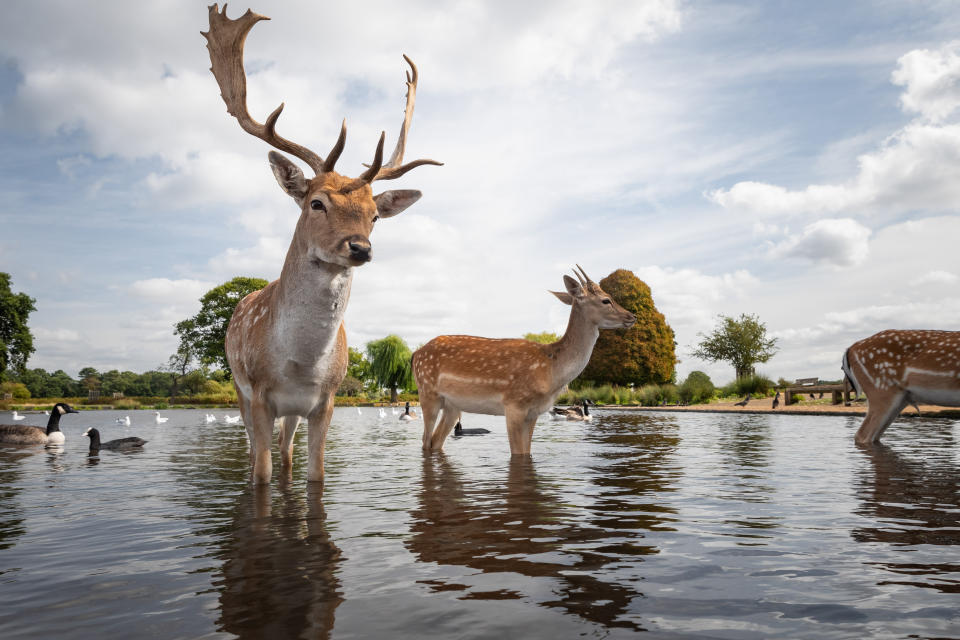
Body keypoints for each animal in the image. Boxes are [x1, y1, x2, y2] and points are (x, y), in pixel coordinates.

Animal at [205, 5, 442, 482]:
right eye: (317, 203)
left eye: (374, 215)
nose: (360, 247)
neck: (299, 366)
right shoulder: (258, 393)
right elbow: (260, 473)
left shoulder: (325, 400)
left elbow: (316, 474)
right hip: (239, 390)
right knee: (256, 451)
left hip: (292, 414)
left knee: (286, 452)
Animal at [412, 266, 636, 456]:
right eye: (606, 300)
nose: (632, 316)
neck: (551, 371)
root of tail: (415, 354)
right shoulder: (514, 404)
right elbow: (518, 453)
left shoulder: (534, 411)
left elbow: (526, 452)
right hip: (427, 392)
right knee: (425, 441)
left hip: (452, 405)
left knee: (435, 441)